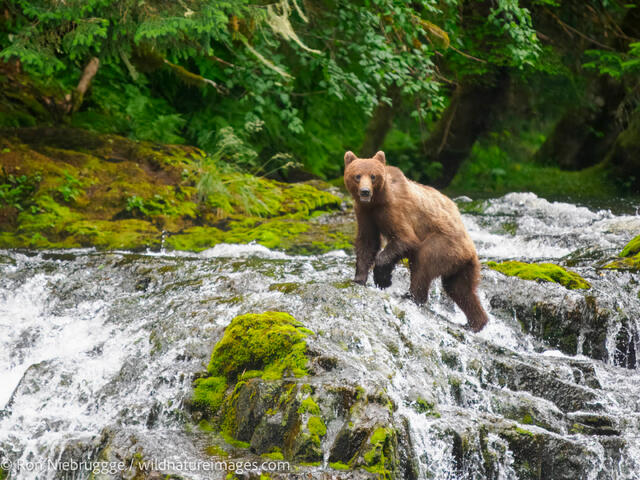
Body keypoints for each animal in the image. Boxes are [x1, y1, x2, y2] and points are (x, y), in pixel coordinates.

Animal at [343, 150, 488, 332]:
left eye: (373, 176)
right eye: (357, 175)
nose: (364, 192)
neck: (376, 202)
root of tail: (472, 250)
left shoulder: (394, 210)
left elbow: (405, 239)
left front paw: (383, 279)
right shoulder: (365, 213)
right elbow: (367, 242)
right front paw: (358, 278)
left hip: (444, 243)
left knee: (424, 262)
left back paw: (411, 296)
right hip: (462, 264)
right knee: (460, 289)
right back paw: (475, 323)